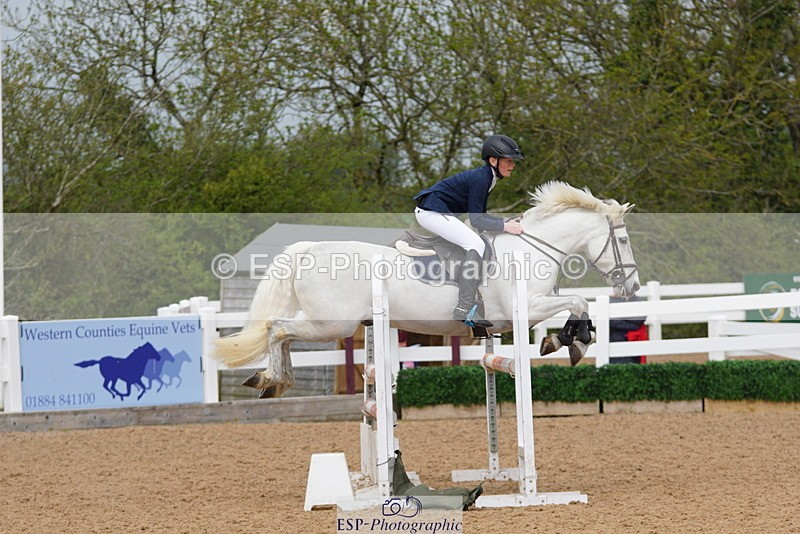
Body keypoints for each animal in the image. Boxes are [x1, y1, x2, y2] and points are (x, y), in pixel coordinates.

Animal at [213, 181, 640, 398]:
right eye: (623, 239)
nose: (632, 285)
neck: (530, 247)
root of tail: (308, 249)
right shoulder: (526, 307)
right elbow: (578, 300)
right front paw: (570, 341)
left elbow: (578, 303)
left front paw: (567, 340)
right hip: (331, 325)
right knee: (277, 329)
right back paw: (272, 378)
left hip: (329, 323)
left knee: (280, 332)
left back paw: (273, 380)